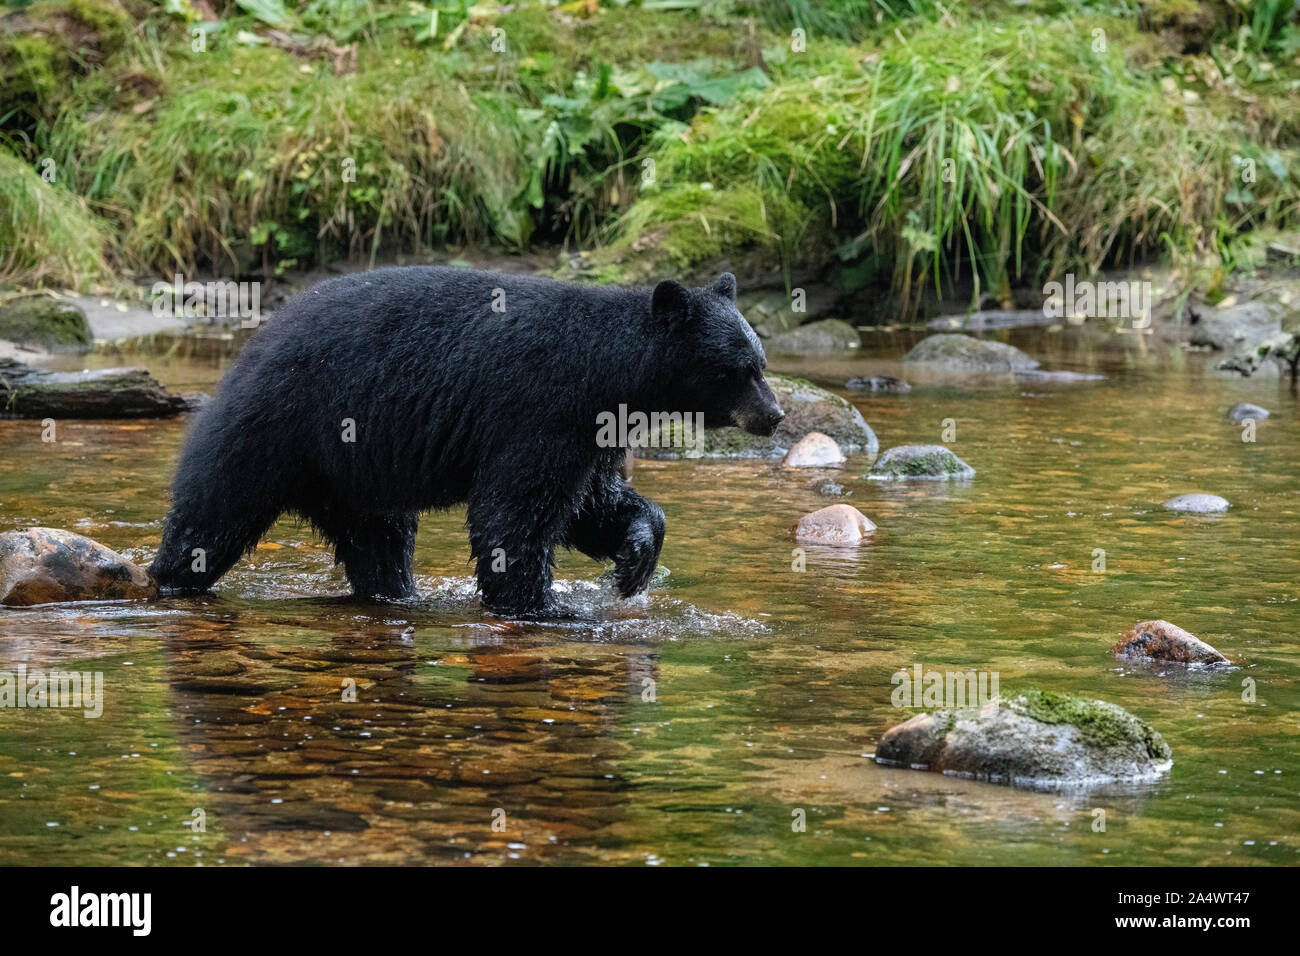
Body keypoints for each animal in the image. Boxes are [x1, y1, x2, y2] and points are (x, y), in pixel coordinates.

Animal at [148, 265, 785, 616]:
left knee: (379, 541)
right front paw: (543, 607)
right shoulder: (542, 410)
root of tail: (246, 353)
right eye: (739, 370)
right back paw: (166, 578)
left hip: (355, 475)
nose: (775, 415)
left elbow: (590, 504)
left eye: (760, 362)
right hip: (275, 430)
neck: (611, 375)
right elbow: (515, 513)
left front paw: (635, 559)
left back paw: (395, 596)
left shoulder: (592, 431)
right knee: (212, 517)